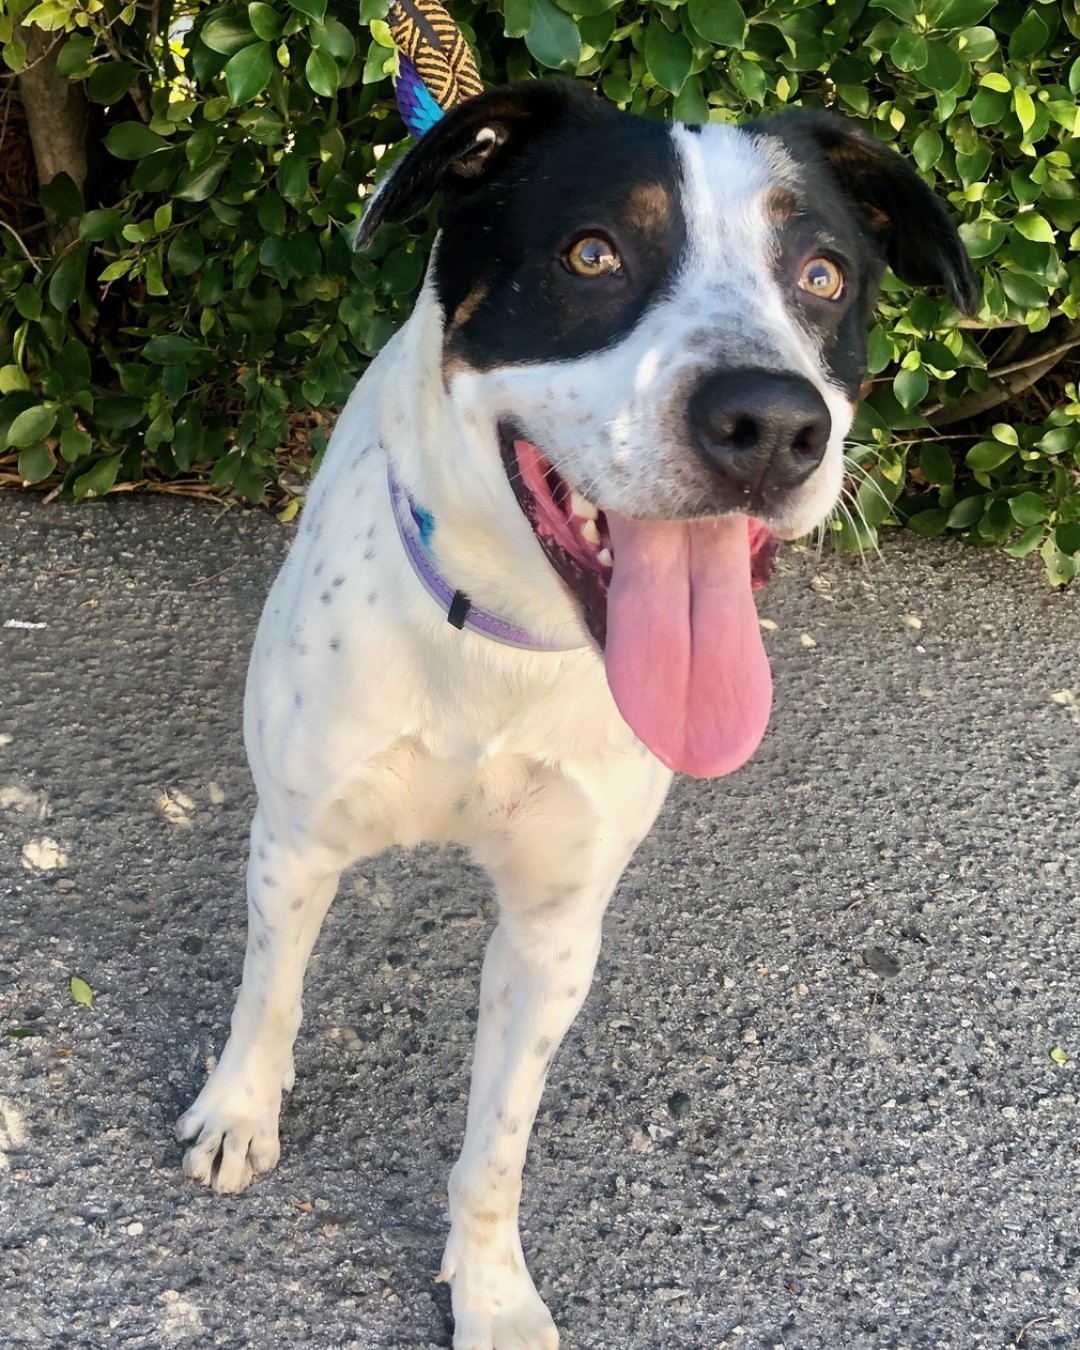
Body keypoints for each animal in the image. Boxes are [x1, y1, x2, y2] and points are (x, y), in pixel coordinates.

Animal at [175, 76, 977, 1350]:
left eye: (822, 275)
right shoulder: (296, 838)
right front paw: (241, 1108)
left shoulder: (555, 931)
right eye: (592, 253)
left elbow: (497, 1143)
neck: (500, 640)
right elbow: (270, 988)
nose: (772, 424)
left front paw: (492, 1290)